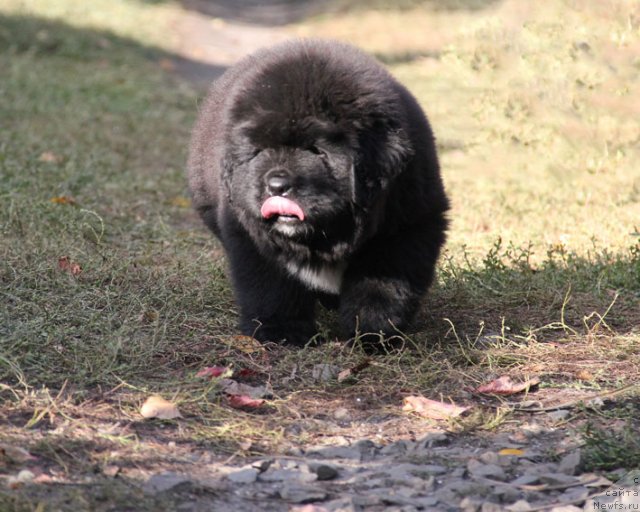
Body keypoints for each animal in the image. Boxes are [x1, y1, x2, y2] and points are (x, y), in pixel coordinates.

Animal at [189, 38, 450, 346]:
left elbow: (383, 286)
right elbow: (272, 287)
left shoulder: (406, 224)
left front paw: (373, 334)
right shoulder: (251, 236)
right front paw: (281, 332)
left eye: (316, 150)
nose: (276, 185)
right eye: (259, 150)